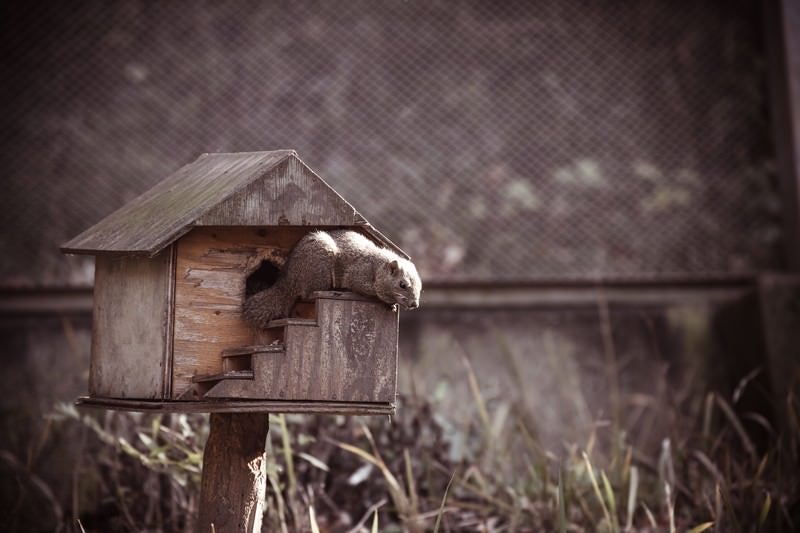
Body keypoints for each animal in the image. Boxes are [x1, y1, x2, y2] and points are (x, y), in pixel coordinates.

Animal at [242, 227, 422, 326]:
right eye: (402, 284)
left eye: (421, 289)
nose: (414, 304)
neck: (377, 267)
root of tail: (289, 279)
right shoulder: (358, 274)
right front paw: (387, 302)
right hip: (319, 269)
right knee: (309, 293)